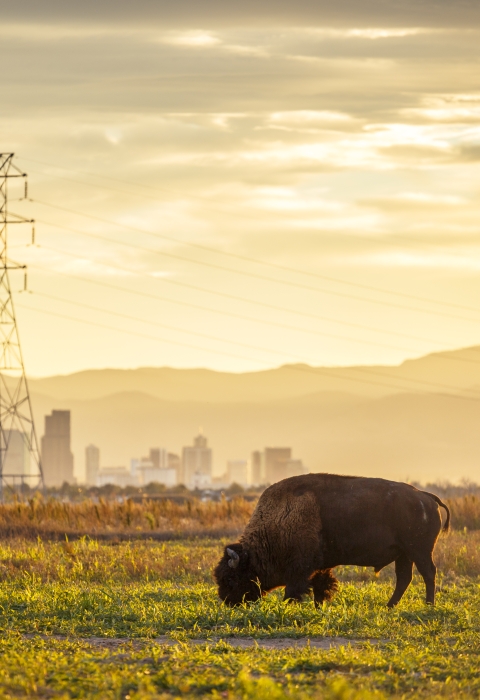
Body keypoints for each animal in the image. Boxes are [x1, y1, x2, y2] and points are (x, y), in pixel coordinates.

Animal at [214, 473, 450, 608]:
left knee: (428, 574)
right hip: (404, 554)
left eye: (231, 578)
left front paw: (289, 605)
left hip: (419, 551)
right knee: (404, 578)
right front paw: (319, 606)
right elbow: (320, 586)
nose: (228, 601)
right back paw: (389, 606)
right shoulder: (319, 567)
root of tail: (426, 497)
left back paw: (428, 605)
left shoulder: (300, 569)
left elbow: (294, 589)